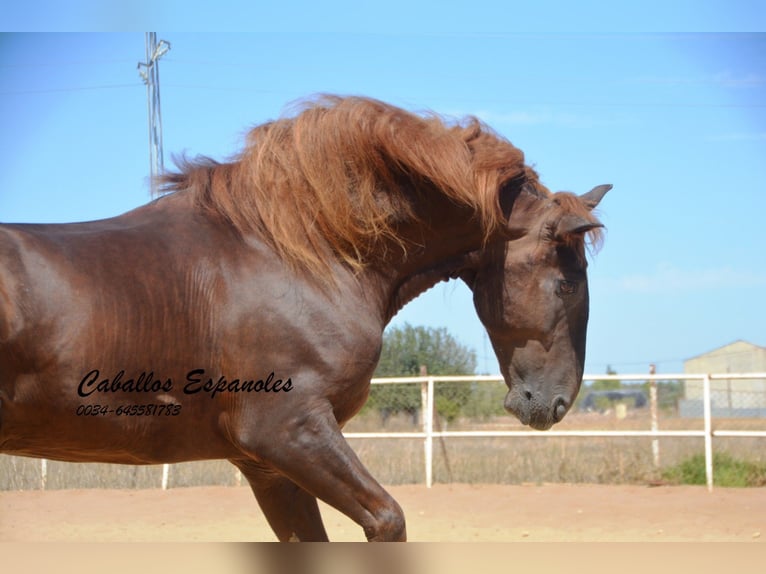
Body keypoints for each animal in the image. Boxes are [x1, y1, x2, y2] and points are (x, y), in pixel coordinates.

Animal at [0, 97, 612, 544]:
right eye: (566, 282)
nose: (554, 403)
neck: (296, 254)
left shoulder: (268, 466)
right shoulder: (290, 433)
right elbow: (387, 520)